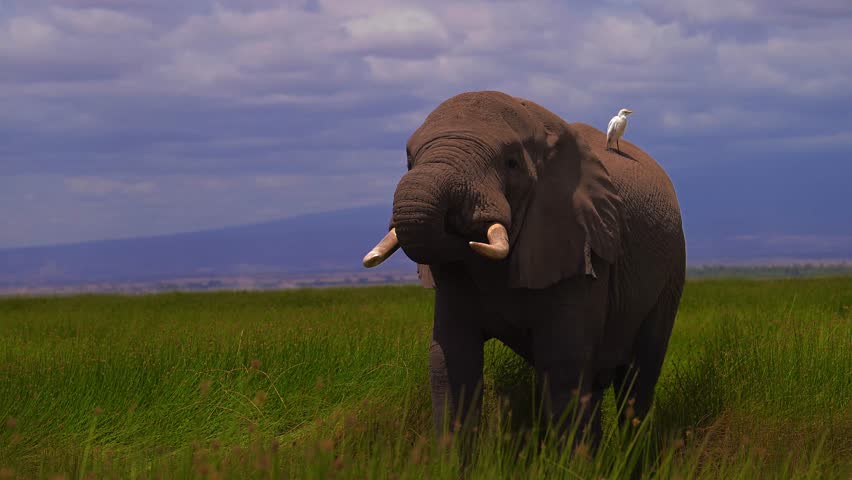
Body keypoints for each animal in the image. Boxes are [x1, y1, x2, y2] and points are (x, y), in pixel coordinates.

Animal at [362, 91, 685, 445]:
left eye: (511, 163)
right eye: (409, 160)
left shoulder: (576, 244)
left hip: (671, 272)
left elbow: (563, 364)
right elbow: (451, 359)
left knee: (639, 375)